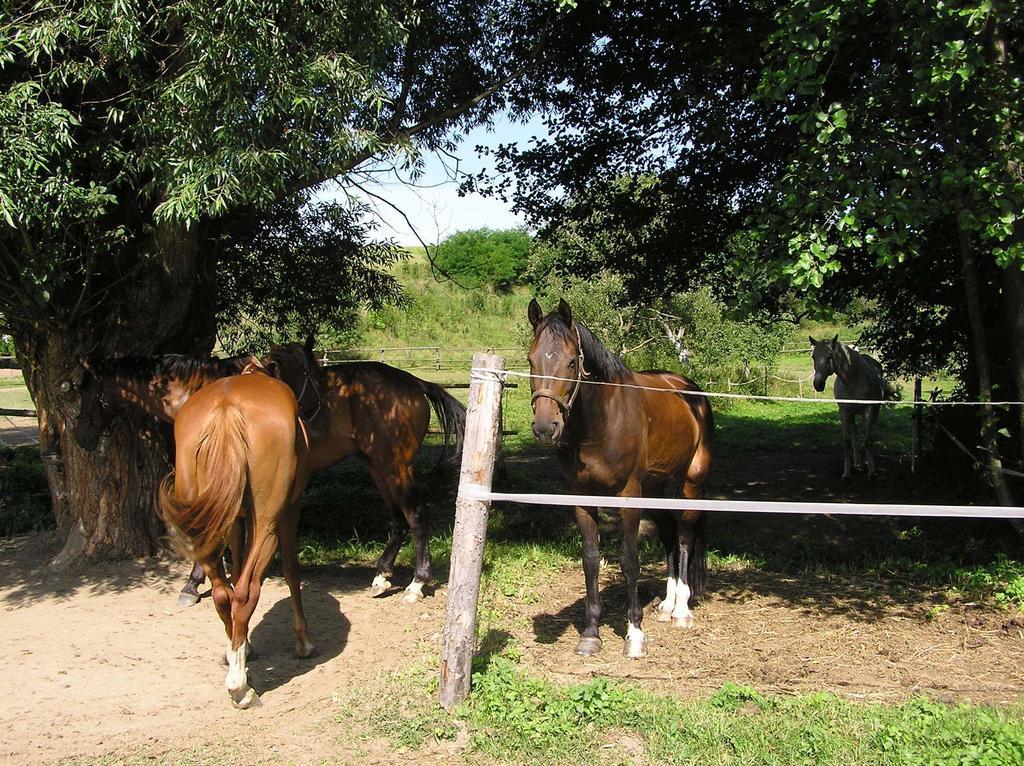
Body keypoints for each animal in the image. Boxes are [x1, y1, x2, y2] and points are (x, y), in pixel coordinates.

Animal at [159, 368, 309, 704]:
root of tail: (226, 406)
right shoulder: (290, 511)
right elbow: (291, 570)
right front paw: (304, 641)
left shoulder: (234, 522)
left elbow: (237, 567)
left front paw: (245, 646)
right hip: (268, 524)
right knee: (245, 591)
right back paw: (239, 686)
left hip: (207, 530)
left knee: (223, 593)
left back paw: (237, 659)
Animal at [264, 344, 464, 602]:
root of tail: (415, 383)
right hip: (379, 468)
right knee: (399, 518)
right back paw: (382, 574)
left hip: (396, 466)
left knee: (416, 515)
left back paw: (416, 583)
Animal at [528, 299, 712, 659]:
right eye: (531, 360)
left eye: (572, 362)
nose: (545, 427)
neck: (600, 424)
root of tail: (690, 391)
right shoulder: (581, 498)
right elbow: (591, 559)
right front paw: (590, 634)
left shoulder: (628, 496)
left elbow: (629, 560)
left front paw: (635, 634)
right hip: (655, 488)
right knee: (669, 535)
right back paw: (667, 606)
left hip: (691, 482)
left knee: (685, 536)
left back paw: (682, 610)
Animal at [811, 335, 892, 479]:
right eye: (813, 356)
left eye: (829, 356)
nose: (818, 384)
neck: (853, 380)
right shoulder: (844, 412)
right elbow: (847, 441)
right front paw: (846, 472)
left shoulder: (869, 411)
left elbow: (867, 440)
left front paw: (872, 472)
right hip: (852, 414)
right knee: (854, 433)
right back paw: (858, 463)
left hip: (873, 412)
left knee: (866, 434)